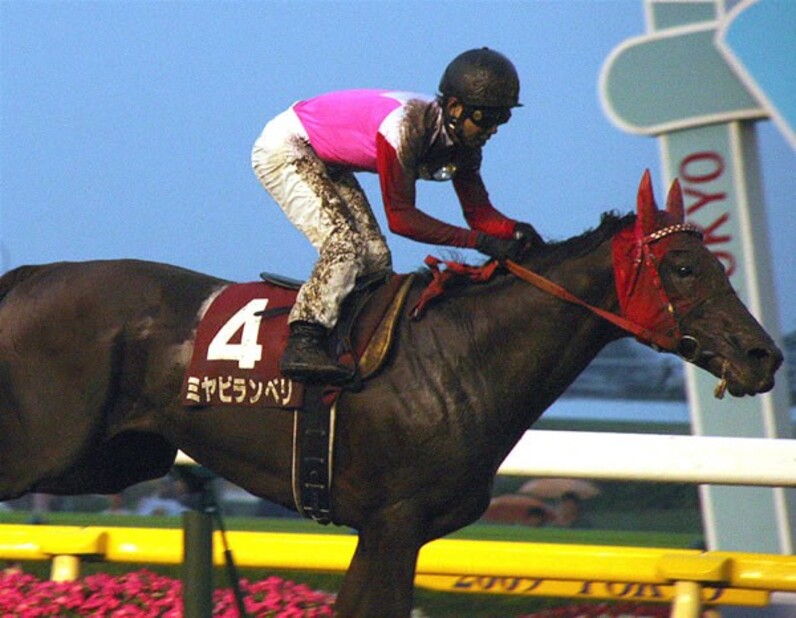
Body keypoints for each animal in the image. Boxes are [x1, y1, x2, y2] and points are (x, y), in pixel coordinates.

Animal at [0, 172, 782, 616]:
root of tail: (30, 276)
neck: (463, 352)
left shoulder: (395, 531)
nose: (763, 355)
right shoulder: (393, 523)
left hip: (119, 457)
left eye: (717, 262)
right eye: (684, 266)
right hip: (51, 449)